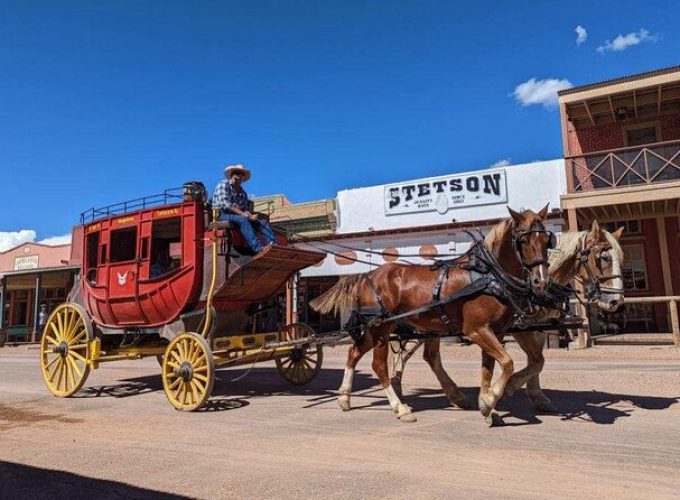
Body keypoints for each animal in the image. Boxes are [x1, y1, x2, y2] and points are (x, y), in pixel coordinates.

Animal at [310, 205, 556, 424]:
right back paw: (400, 408)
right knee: (378, 365)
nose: (540, 281)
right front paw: (490, 400)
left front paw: (488, 404)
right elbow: (507, 362)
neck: (489, 275)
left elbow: (490, 368)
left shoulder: (496, 331)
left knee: (353, 352)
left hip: (376, 327)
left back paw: (344, 397)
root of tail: (366, 275)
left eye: (547, 241)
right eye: (523, 241)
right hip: (381, 328)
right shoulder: (477, 330)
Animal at [390, 221, 624, 412]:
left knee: (426, 356)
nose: (616, 301)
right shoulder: (520, 328)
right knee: (403, 353)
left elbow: (537, 361)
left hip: (431, 326)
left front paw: (535, 396)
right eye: (604, 258)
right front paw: (508, 388)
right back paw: (397, 387)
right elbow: (533, 361)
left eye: (621, 258)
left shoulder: (537, 326)